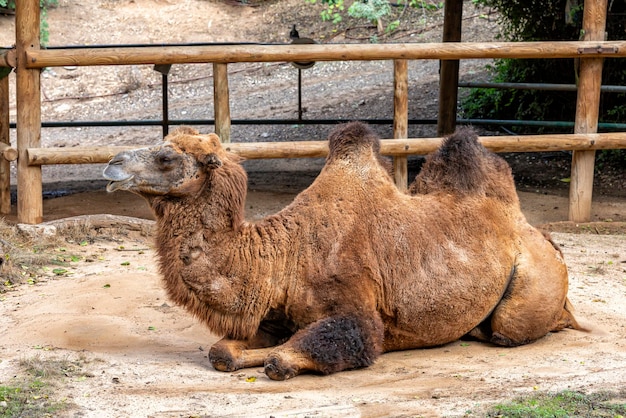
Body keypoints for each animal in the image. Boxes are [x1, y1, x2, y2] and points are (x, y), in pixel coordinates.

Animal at [103, 122, 580, 380]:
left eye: (166, 158)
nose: (111, 165)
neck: (284, 256)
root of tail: (531, 228)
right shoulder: (274, 314)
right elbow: (224, 351)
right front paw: (242, 356)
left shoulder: (357, 310)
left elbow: (296, 354)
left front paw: (279, 360)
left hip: (532, 283)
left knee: (510, 327)